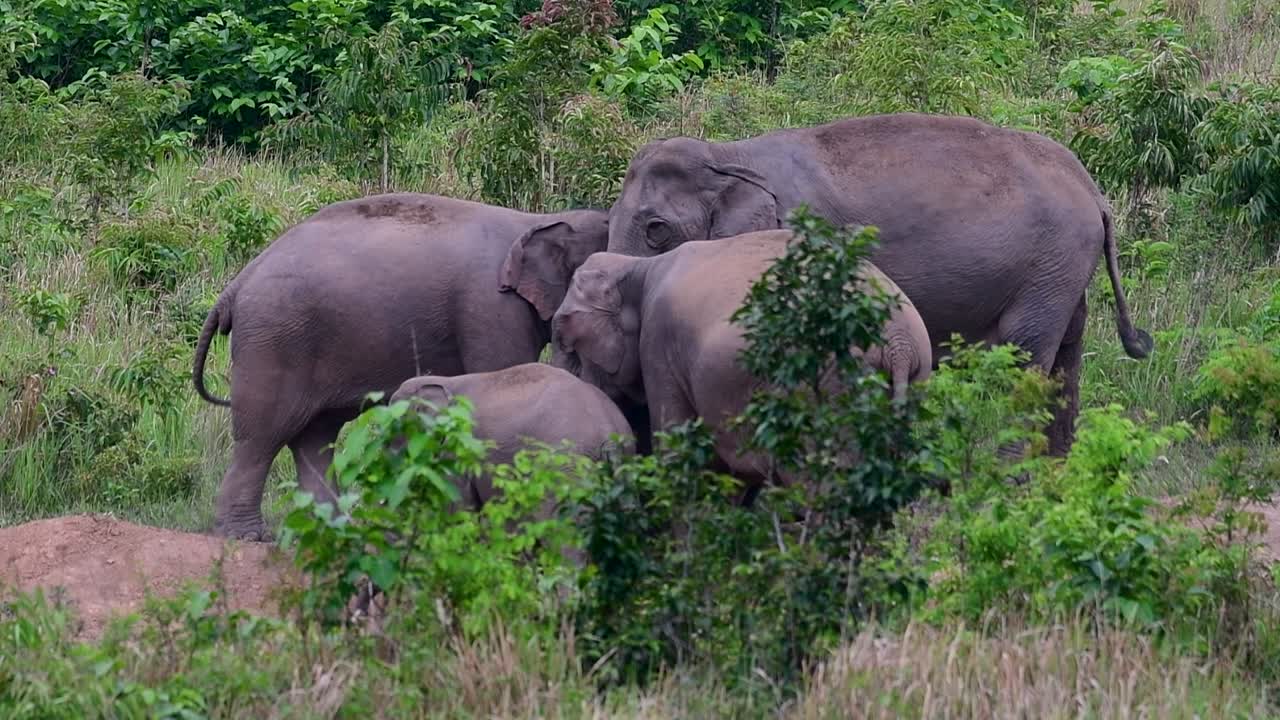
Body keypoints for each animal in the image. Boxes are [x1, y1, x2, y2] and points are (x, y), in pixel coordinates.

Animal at [192, 192, 609, 541]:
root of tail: (236, 285)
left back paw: (332, 530)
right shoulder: (491, 307)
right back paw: (246, 536)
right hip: (276, 339)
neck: (540, 220)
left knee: (315, 436)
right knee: (262, 435)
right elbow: (505, 368)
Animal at [549, 229, 932, 492]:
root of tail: (899, 342)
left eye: (564, 340)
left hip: (825, 385)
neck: (638, 268)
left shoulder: (659, 345)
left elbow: (678, 450)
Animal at [604, 112, 1153, 455]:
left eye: (656, 230)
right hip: (1063, 271)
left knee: (1025, 356)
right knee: (1066, 358)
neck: (729, 154)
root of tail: (1093, 190)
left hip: (1049, 266)